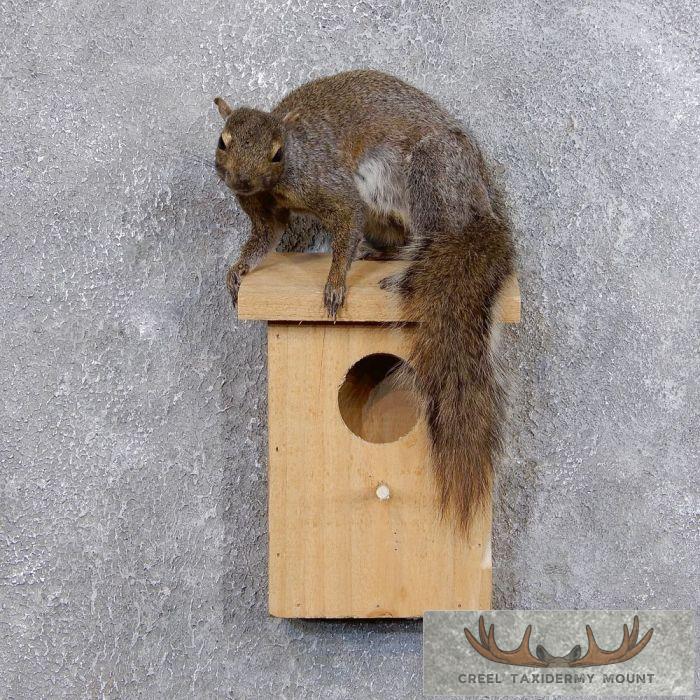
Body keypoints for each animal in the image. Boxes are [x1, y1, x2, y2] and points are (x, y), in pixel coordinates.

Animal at [214, 69, 515, 535]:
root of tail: (481, 205)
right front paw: (238, 270)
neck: (279, 185)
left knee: (440, 231)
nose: (242, 180)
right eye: (223, 141)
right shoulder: (265, 210)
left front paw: (336, 284)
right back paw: (384, 256)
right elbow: (266, 237)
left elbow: (346, 218)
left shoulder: (327, 183)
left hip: (431, 172)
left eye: (277, 152)